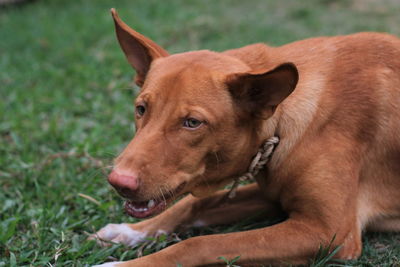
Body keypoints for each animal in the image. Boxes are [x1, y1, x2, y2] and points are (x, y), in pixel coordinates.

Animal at [92, 8, 400, 267]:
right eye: (141, 109)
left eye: (192, 123)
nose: (118, 182)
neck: (284, 120)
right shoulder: (273, 196)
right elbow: (193, 203)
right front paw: (132, 231)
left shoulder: (329, 233)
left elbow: (199, 244)